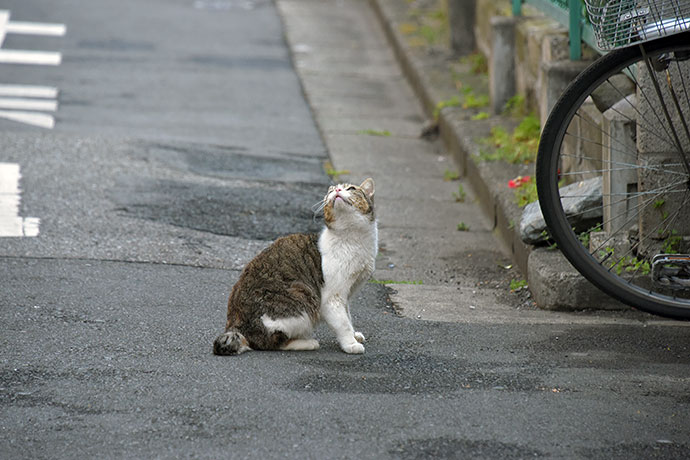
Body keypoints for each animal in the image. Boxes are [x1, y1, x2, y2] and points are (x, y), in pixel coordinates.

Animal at [214, 178, 376, 354]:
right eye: (330, 191)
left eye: (351, 188)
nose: (337, 190)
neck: (353, 238)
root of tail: (233, 325)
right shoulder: (332, 298)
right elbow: (343, 323)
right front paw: (350, 344)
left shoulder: (347, 295)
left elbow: (348, 316)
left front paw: (354, 335)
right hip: (302, 305)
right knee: (271, 343)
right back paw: (308, 343)